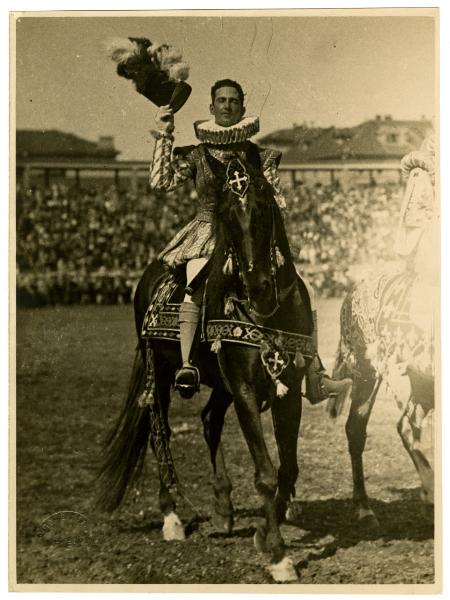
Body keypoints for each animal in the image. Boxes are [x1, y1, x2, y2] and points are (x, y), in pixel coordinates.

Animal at [96, 164, 312, 580]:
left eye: (264, 207)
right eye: (227, 216)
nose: (258, 285)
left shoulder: (289, 390)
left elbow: (288, 468)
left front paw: (268, 529)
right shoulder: (245, 391)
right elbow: (265, 472)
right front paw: (278, 555)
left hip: (220, 385)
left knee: (210, 419)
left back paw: (224, 510)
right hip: (161, 375)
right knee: (159, 432)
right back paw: (172, 518)